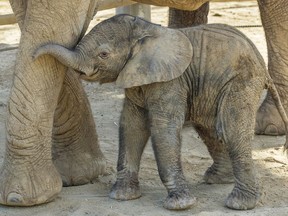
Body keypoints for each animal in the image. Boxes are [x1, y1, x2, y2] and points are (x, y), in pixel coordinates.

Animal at [33, 14, 288, 210]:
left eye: (103, 54)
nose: (34, 55)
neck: (145, 30)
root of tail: (261, 64)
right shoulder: (138, 78)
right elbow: (132, 126)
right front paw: (122, 196)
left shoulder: (170, 80)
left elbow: (162, 128)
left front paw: (180, 205)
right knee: (209, 128)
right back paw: (215, 180)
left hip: (242, 81)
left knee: (230, 128)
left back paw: (239, 204)